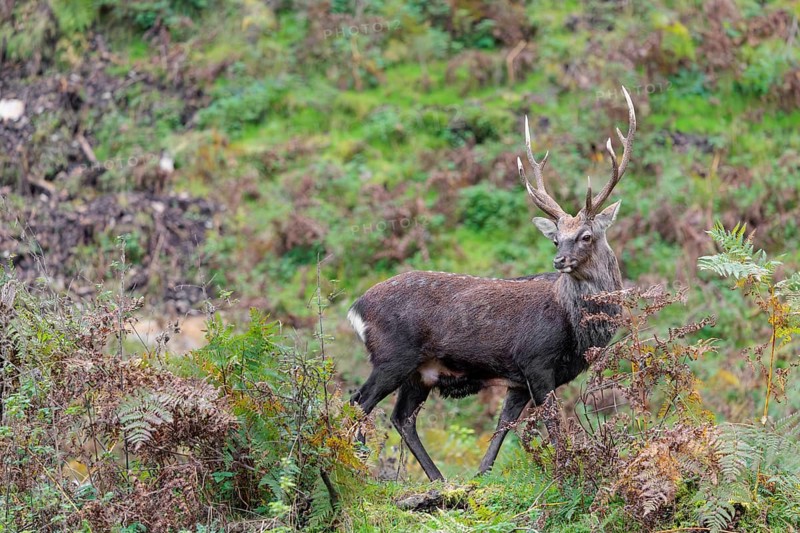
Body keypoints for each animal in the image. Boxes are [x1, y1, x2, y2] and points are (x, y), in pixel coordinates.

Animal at [347, 87, 636, 481]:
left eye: (586, 236)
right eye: (556, 239)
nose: (559, 261)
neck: (577, 332)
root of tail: (356, 308)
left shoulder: (517, 379)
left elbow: (503, 427)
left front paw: (481, 475)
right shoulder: (536, 360)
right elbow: (553, 426)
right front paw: (567, 473)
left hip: (421, 371)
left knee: (401, 417)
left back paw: (438, 479)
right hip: (393, 355)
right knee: (359, 402)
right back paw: (358, 469)